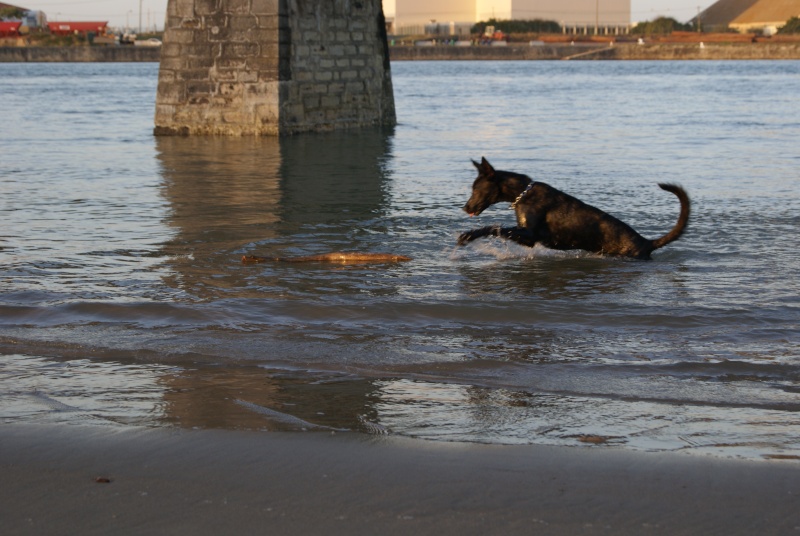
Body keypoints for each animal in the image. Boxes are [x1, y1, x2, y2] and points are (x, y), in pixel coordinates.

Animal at [460, 157, 692, 260]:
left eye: (476, 189)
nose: (465, 207)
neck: (523, 193)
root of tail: (646, 243)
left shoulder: (530, 236)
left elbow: (494, 227)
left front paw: (468, 235)